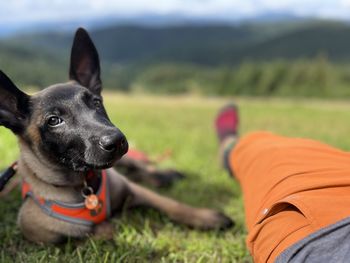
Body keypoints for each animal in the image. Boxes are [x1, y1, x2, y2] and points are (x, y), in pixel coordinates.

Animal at [0, 27, 234, 244]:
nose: (117, 140)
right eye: (54, 121)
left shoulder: (133, 189)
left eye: (96, 102)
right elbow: (93, 231)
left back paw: (167, 175)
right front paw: (109, 225)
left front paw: (207, 217)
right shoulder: (40, 234)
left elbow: (171, 204)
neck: (84, 187)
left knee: (145, 170)